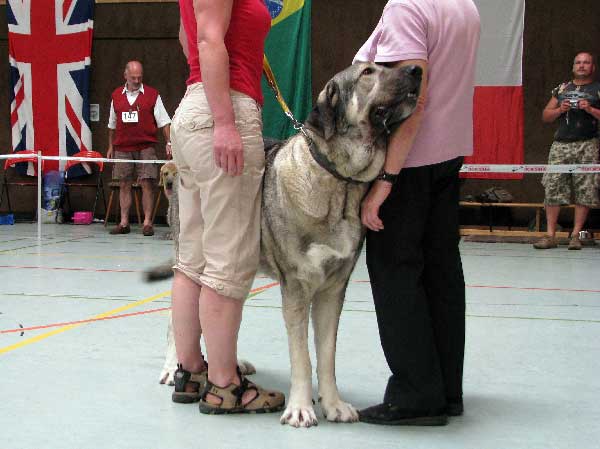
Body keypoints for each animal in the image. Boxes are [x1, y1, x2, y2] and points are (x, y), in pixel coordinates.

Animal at [262, 61, 422, 426]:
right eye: (368, 72)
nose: (416, 69)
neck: (341, 182)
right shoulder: (297, 288)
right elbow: (302, 356)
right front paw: (301, 407)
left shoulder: (333, 290)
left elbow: (327, 353)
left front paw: (333, 404)